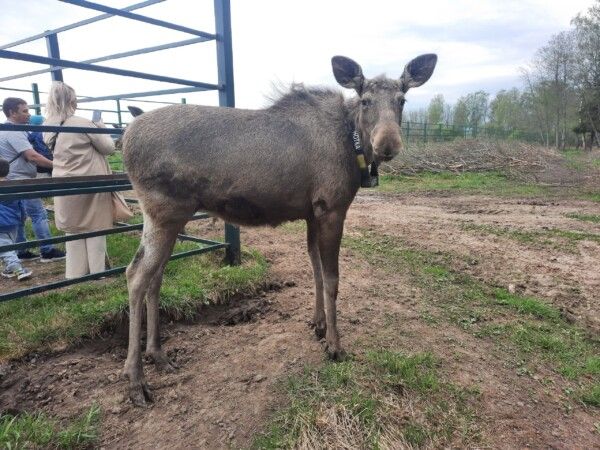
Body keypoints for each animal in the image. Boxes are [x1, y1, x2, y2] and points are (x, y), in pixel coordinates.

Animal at [122, 53, 438, 404]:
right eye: (366, 100)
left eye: (402, 99)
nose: (388, 144)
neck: (352, 144)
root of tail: (125, 136)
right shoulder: (332, 209)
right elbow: (332, 279)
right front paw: (335, 345)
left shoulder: (312, 213)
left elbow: (315, 270)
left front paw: (318, 325)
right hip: (163, 212)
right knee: (136, 275)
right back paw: (135, 379)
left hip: (172, 218)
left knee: (156, 276)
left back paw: (157, 355)